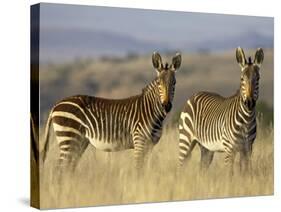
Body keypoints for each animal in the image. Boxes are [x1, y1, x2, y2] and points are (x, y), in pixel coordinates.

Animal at [42, 51, 182, 172]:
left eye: (174, 83)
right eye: (158, 83)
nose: (166, 106)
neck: (151, 111)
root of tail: (56, 105)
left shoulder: (150, 145)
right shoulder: (139, 142)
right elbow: (138, 169)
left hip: (79, 142)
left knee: (68, 168)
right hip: (68, 138)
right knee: (59, 169)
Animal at [178, 48, 264, 176]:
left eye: (257, 79)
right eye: (242, 79)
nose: (249, 102)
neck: (246, 119)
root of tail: (194, 95)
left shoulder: (248, 148)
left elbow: (245, 173)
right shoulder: (229, 149)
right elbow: (230, 174)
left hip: (206, 148)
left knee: (202, 168)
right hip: (185, 139)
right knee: (180, 165)